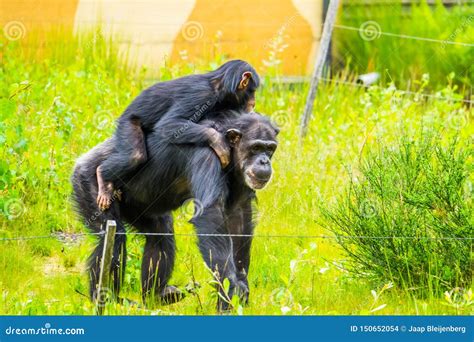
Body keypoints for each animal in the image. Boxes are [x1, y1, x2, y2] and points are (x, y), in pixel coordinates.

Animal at [71, 111, 278, 308]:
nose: (264, 161)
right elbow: (210, 212)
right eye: (256, 148)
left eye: (269, 149)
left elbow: (239, 213)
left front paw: (241, 283)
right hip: (90, 185)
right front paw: (229, 287)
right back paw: (105, 299)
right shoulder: (206, 156)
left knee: (160, 235)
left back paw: (156, 296)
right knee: (114, 239)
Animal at [95, 60, 260, 212]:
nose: (254, 101)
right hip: (128, 124)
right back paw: (103, 179)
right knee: (134, 156)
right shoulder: (201, 95)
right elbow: (170, 123)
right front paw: (218, 141)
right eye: (252, 90)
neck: (220, 88)